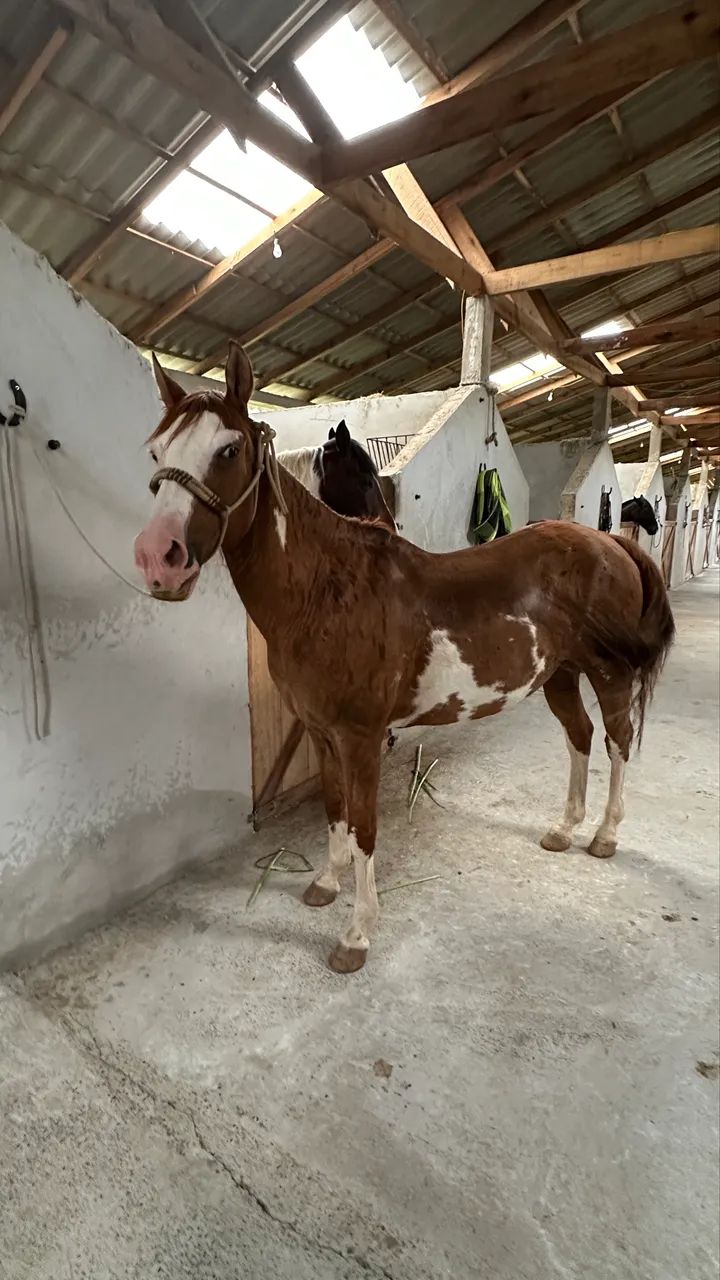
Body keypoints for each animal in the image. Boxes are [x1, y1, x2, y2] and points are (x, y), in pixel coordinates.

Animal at [134, 343, 675, 975]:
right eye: (156, 452)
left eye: (229, 449)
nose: (159, 559)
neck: (326, 592)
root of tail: (613, 543)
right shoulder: (321, 732)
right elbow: (334, 807)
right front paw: (325, 883)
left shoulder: (362, 737)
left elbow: (366, 827)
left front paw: (356, 935)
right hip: (560, 675)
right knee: (581, 737)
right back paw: (564, 828)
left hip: (609, 674)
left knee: (617, 741)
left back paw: (606, 836)